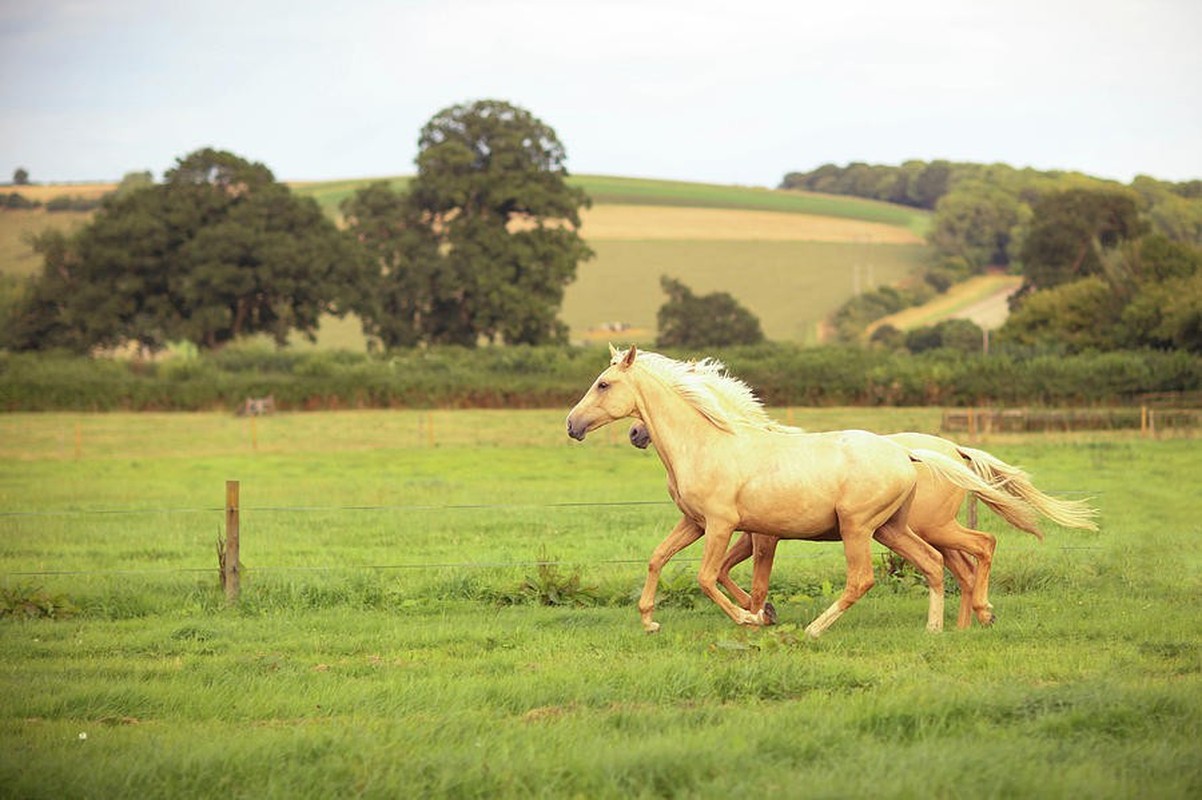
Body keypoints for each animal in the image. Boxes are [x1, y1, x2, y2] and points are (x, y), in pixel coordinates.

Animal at [567, 345, 1028, 634]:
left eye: (603, 384)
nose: (572, 425)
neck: (709, 442)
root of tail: (908, 454)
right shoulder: (695, 524)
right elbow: (658, 559)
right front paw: (649, 621)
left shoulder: (725, 526)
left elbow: (710, 578)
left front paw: (754, 620)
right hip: (892, 529)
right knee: (937, 564)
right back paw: (939, 628)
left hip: (862, 528)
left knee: (870, 578)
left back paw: (815, 629)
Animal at [629, 418, 1101, 629]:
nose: (636, 434)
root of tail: (952, 450)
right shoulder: (746, 532)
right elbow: (725, 571)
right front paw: (761, 612)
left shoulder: (759, 535)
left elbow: (736, 575)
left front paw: (759, 614)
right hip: (914, 531)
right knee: (961, 568)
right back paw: (964, 624)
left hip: (921, 528)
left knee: (978, 548)